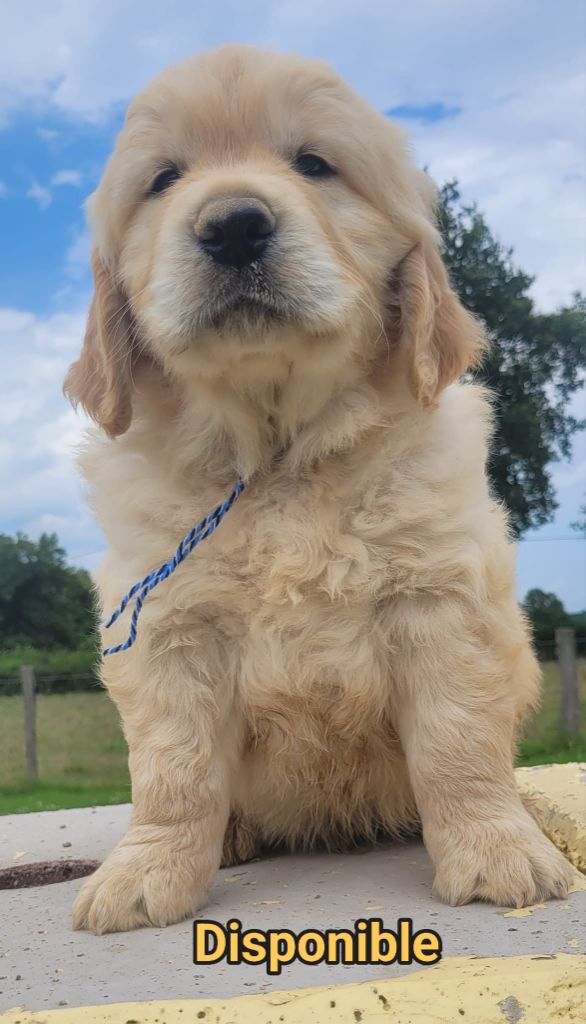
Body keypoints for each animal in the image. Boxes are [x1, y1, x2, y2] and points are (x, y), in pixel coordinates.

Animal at [65, 45, 575, 934]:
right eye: (163, 179)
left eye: (314, 164)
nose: (233, 224)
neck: (280, 462)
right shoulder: (167, 626)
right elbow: (174, 770)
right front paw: (146, 869)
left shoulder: (440, 600)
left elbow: (458, 745)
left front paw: (496, 849)